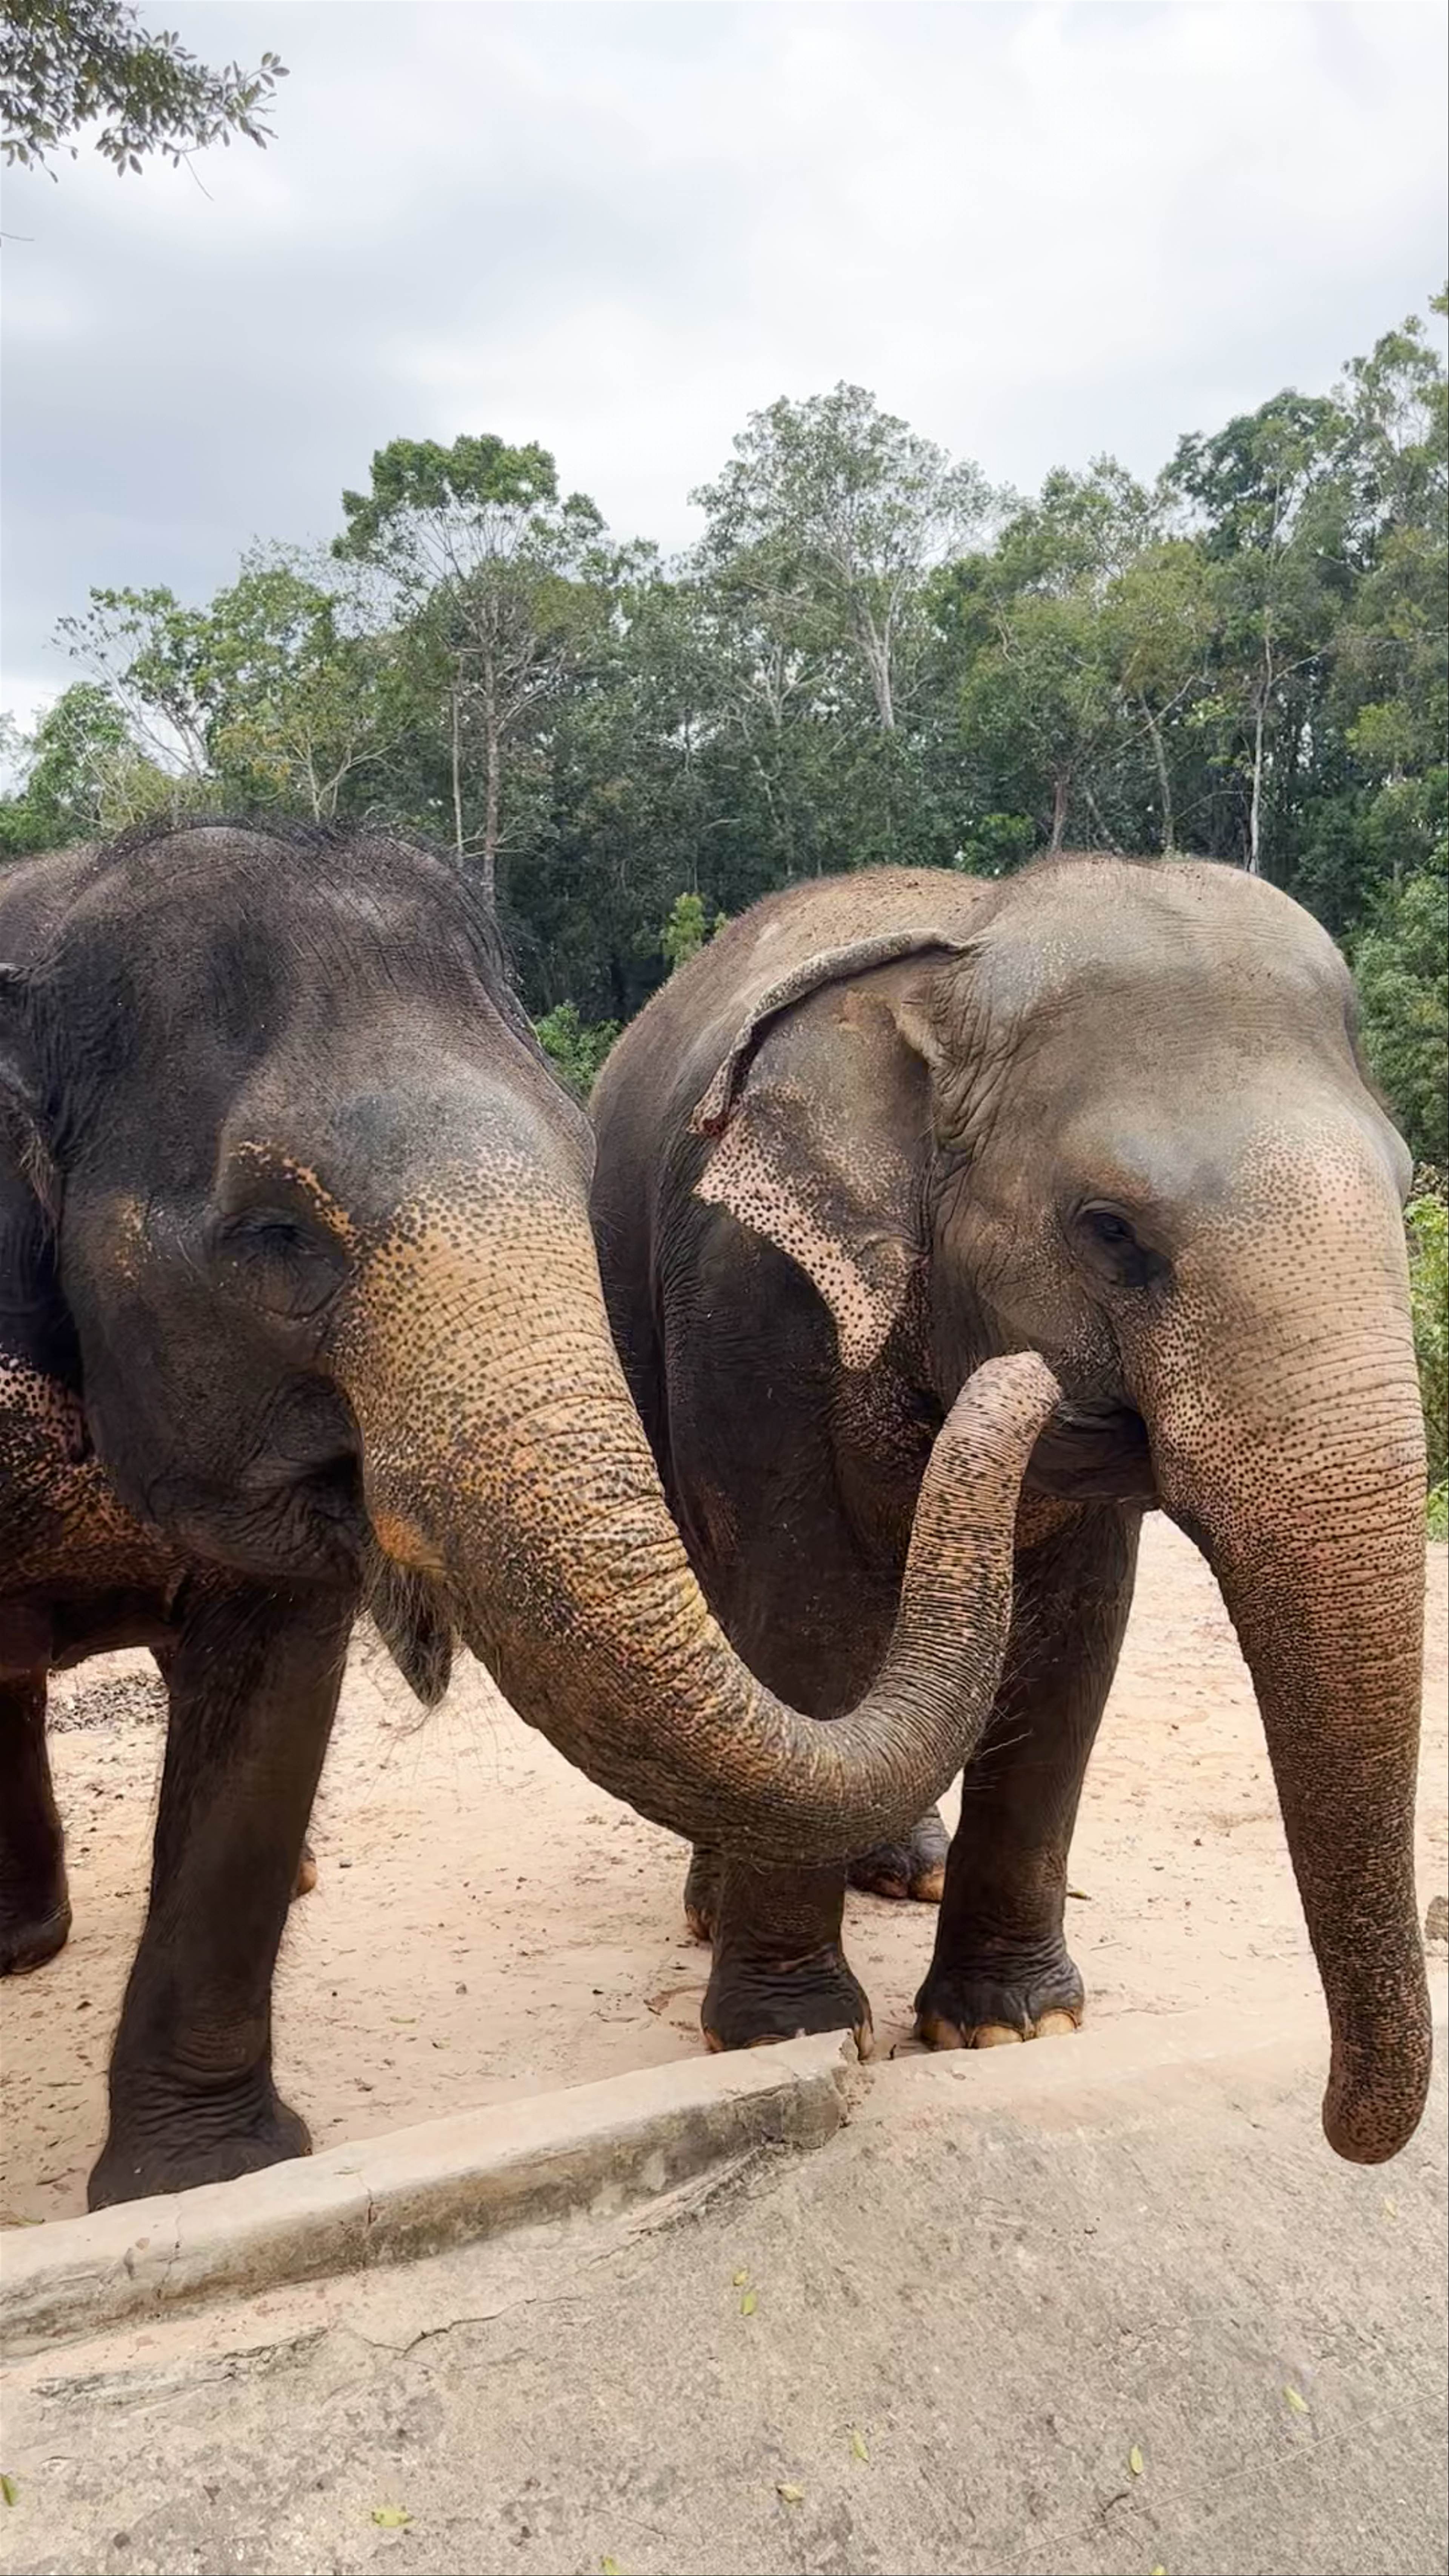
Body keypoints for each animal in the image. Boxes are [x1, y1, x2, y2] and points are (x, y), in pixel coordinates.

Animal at [0, 819, 1058, 2210]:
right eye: (274, 1233)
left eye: (581, 1172)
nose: (1031, 1373)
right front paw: (204, 2187)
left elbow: (268, 1710)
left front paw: (203, 2182)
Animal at [589, 852, 1432, 2166]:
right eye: (1111, 1232)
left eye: (1405, 1192)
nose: (1338, 2125)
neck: (961, 957)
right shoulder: (747, 1290)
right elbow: (803, 1616)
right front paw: (790, 2032)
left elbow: (1071, 1638)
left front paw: (1009, 2027)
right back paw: (713, 1905)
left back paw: (901, 1870)